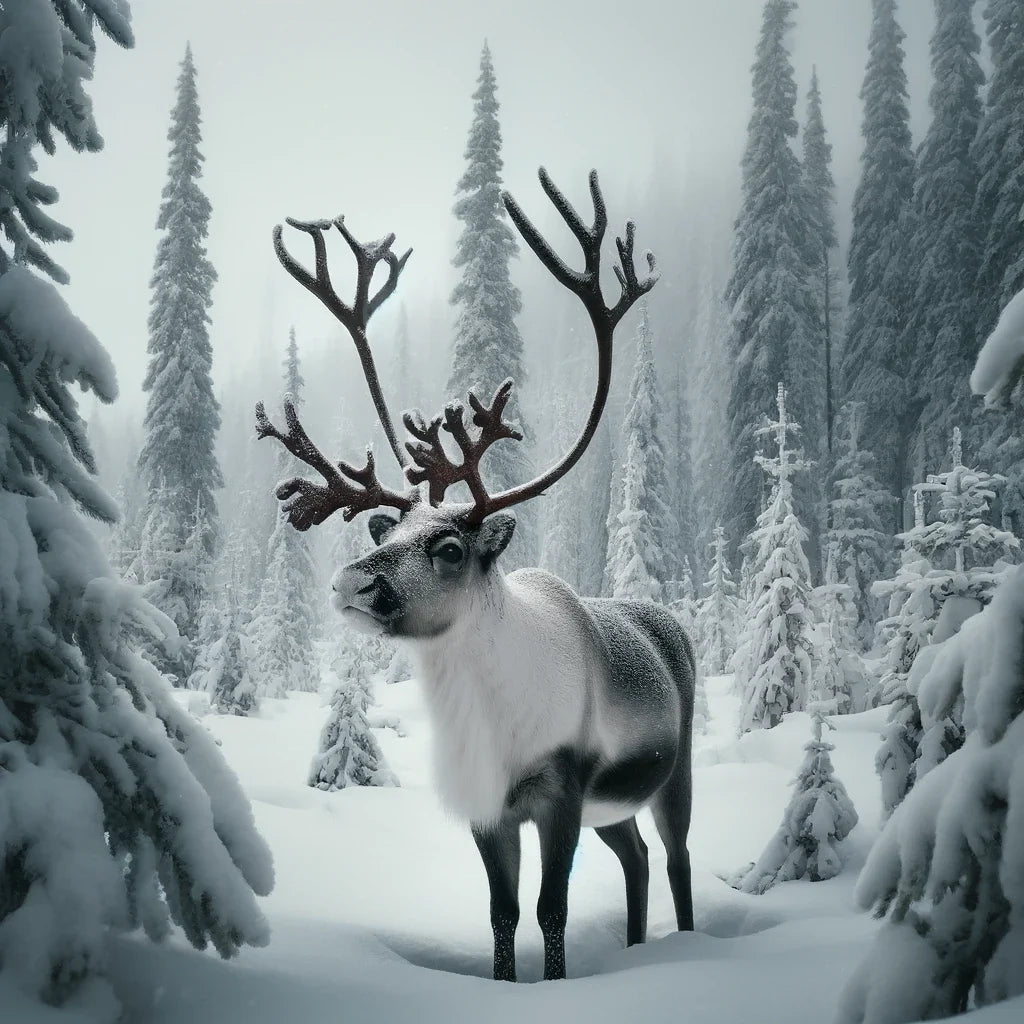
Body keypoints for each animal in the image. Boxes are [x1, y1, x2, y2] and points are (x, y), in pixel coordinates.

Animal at [255, 169, 696, 982]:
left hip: (667, 775)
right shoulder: (488, 811)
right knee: (638, 857)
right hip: (613, 808)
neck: (492, 725)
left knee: (676, 857)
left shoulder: (561, 792)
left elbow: (550, 912)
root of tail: (669, 623)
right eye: (390, 529)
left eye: (451, 547)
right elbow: (502, 916)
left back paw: (685, 944)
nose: (351, 583)